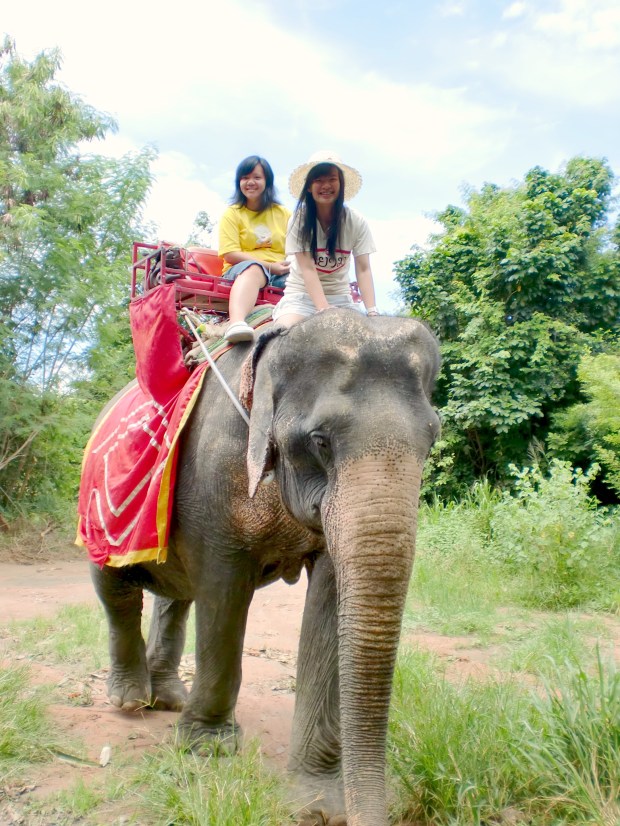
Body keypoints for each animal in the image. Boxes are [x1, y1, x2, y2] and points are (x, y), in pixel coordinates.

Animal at [88, 308, 441, 826]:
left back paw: (168, 699)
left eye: (432, 440)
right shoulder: (214, 478)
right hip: (100, 506)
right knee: (115, 590)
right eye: (320, 440)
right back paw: (131, 699)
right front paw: (208, 749)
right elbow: (223, 592)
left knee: (176, 596)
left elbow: (329, 602)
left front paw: (318, 803)